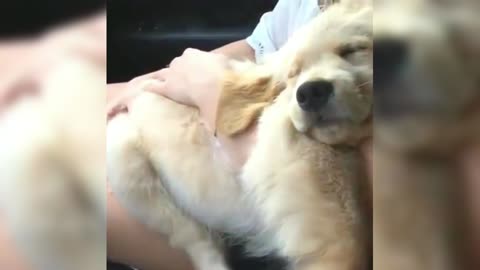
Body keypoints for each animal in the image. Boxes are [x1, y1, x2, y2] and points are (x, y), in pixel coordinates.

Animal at [108, 1, 372, 268]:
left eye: (353, 50)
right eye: (292, 74)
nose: (310, 93)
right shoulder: (291, 141)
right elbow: (339, 229)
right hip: (128, 167)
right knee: (193, 237)